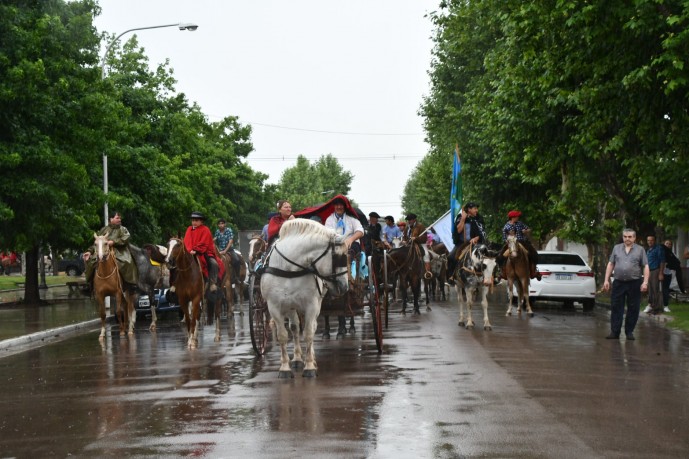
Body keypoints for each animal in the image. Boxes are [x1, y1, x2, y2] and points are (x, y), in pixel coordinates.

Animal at [264, 221, 350, 380]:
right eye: (338, 257)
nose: (344, 286)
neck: (289, 269)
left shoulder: (311, 305)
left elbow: (309, 333)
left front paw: (310, 366)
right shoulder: (274, 306)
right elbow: (282, 336)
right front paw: (284, 367)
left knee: (311, 327)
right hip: (291, 306)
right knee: (294, 327)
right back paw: (297, 358)